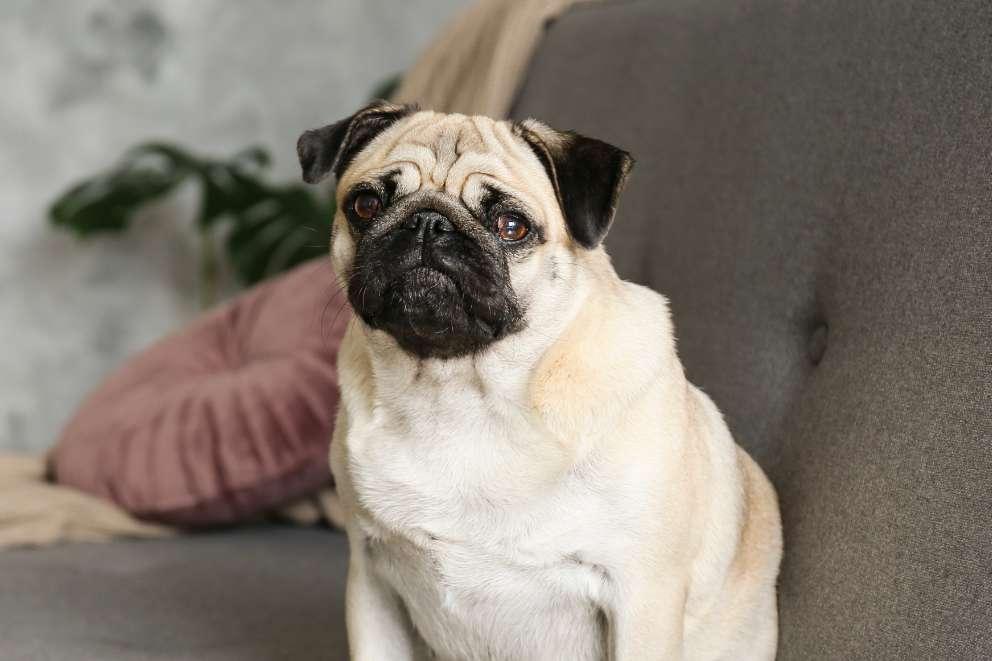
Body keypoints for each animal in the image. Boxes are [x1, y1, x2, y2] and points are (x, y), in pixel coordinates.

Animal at [296, 103, 784, 660]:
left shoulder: (642, 598)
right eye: (366, 204)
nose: (427, 223)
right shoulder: (371, 581)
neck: (457, 391)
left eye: (510, 226)